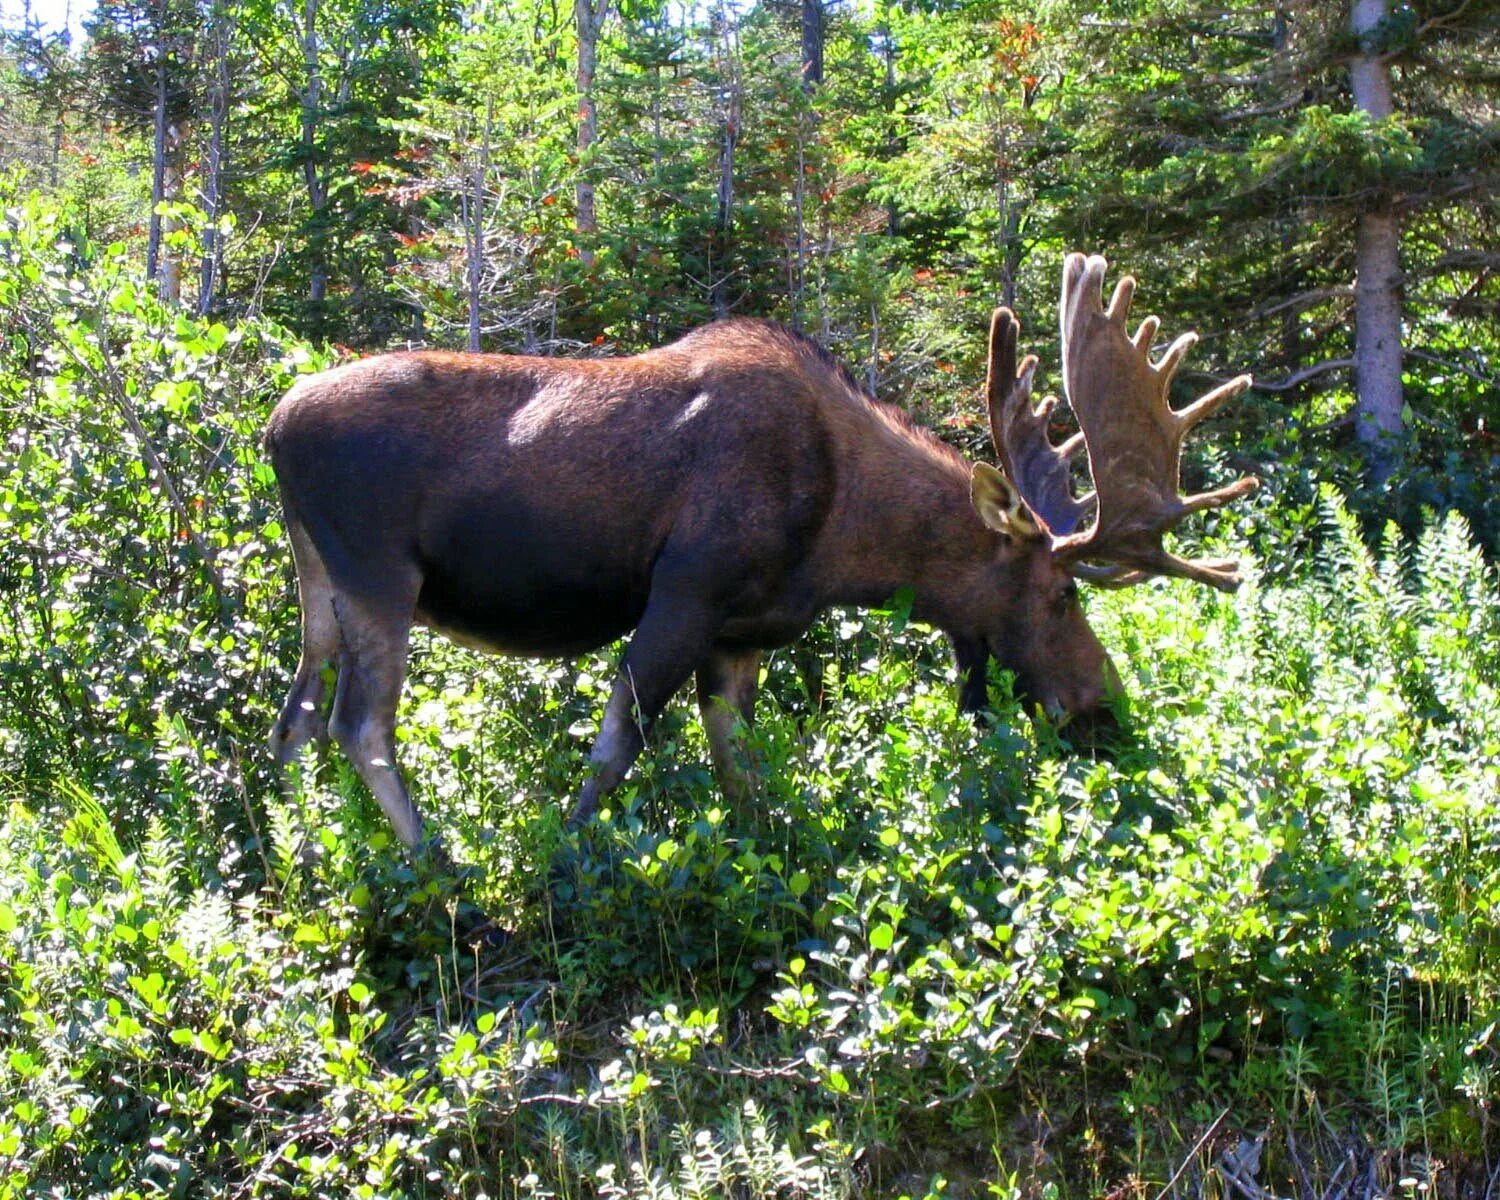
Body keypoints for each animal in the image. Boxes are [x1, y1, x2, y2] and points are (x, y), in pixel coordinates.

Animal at [267, 255, 1254, 846]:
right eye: (1062, 595)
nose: (1106, 709)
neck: (849, 542)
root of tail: (271, 426)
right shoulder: (686, 594)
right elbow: (616, 747)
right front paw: (568, 856)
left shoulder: (741, 635)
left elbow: (739, 770)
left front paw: (765, 854)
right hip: (380, 571)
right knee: (361, 723)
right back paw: (439, 865)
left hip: (317, 575)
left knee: (298, 713)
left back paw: (297, 842)